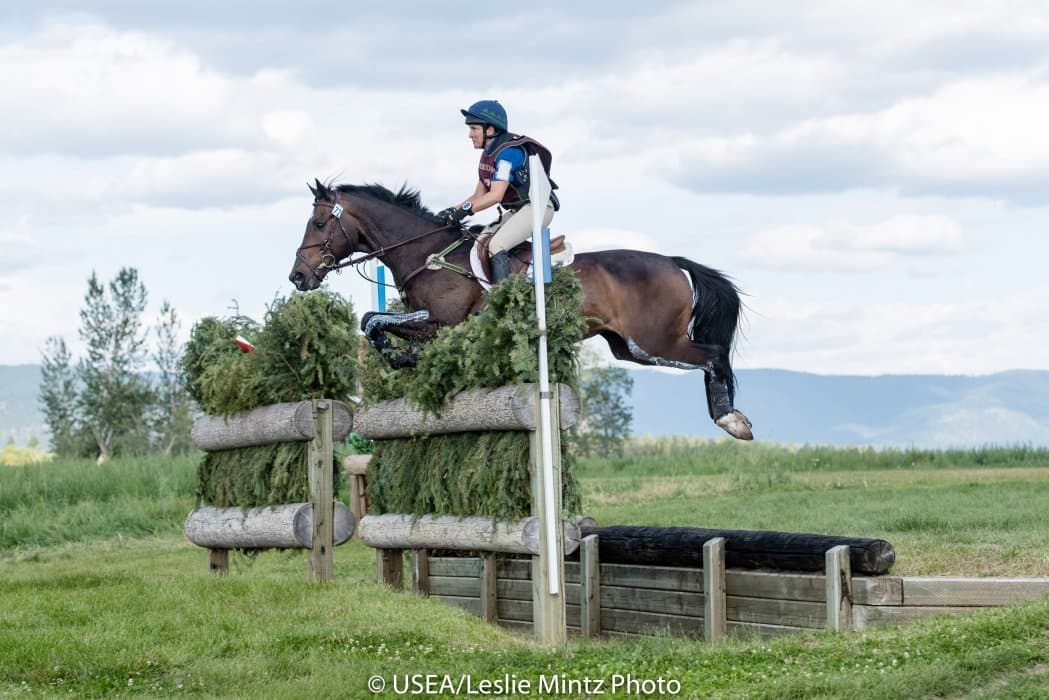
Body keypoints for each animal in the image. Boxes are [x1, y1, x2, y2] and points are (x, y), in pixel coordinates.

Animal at [289, 180, 753, 440]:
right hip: (629, 347)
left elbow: (374, 322)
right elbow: (372, 323)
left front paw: (401, 355)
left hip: (653, 341)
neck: (427, 253)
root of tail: (673, 261)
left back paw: (731, 421)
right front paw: (403, 356)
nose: (298, 276)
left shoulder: (443, 322)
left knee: (713, 356)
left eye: (318, 224)